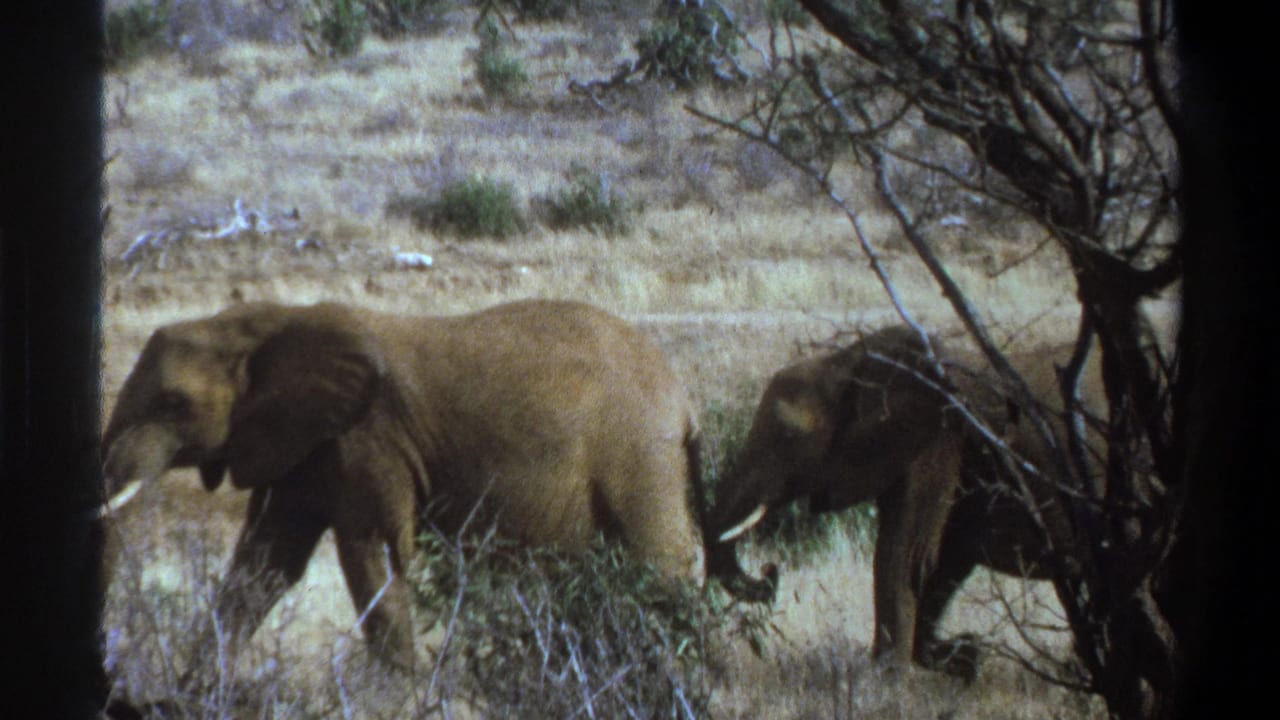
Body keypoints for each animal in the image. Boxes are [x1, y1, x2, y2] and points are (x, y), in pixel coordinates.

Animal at [100, 298, 707, 674]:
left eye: (172, 403)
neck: (266, 321)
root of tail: (682, 400)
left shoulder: (370, 438)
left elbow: (374, 552)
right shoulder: (304, 444)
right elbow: (265, 564)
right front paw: (192, 692)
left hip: (640, 459)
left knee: (661, 566)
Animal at [705, 324, 1082, 679]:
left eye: (787, 437)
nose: (770, 572)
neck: (847, 361)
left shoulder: (937, 441)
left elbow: (907, 555)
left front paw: (885, 683)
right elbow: (941, 561)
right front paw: (967, 656)